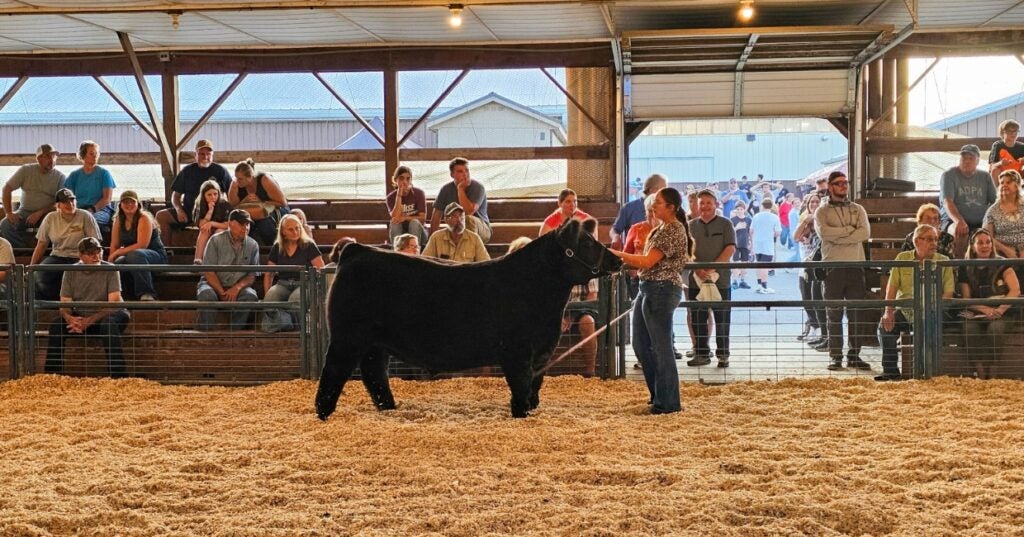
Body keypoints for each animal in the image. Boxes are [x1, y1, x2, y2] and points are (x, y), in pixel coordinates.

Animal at [315, 218, 622, 419]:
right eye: (586, 242)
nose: (618, 260)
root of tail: (356, 251)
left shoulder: (543, 351)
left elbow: (535, 384)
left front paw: (531, 408)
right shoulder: (517, 351)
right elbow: (521, 383)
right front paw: (521, 412)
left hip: (374, 343)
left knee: (374, 373)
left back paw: (389, 407)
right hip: (347, 337)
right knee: (334, 370)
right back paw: (323, 412)